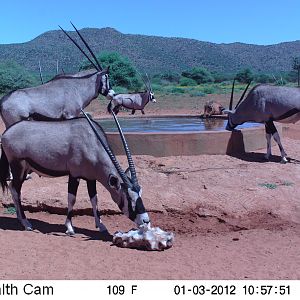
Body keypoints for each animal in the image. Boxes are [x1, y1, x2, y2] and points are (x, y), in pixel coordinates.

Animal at [0, 111, 150, 233]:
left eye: (140, 193)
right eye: (128, 198)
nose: (146, 221)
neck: (92, 141)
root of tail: (6, 134)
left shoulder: (91, 178)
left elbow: (94, 199)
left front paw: (101, 225)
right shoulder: (74, 175)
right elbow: (71, 198)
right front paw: (69, 227)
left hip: (25, 168)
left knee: (13, 187)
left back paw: (20, 218)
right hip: (18, 166)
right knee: (16, 189)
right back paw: (26, 223)